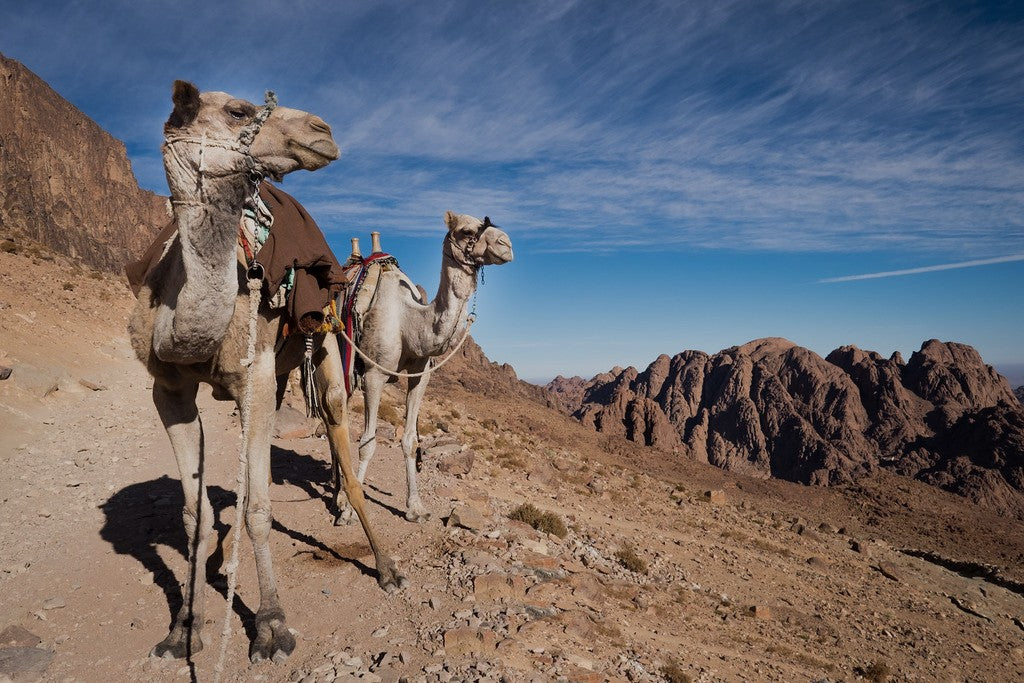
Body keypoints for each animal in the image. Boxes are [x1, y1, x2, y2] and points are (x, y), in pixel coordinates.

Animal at [125, 78, 401, 663]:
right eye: (237, 111)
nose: (323, 129)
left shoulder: (251, 376)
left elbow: (257, 508)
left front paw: (272, 626)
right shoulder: (168, 390)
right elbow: (196, 514)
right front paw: (184, 627)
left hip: (324, 339)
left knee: (340, 434)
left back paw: (385, 564)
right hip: (275, 371)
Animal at [333, 210, 512, 528]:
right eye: (466, 231)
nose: (507, 244)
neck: (409, 321)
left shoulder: (420, 375)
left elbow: (409, 440)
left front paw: (415, 508)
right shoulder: (374, 375)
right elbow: (367, 443)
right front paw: (351, 512)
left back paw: (339, 489)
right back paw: (340, 494)